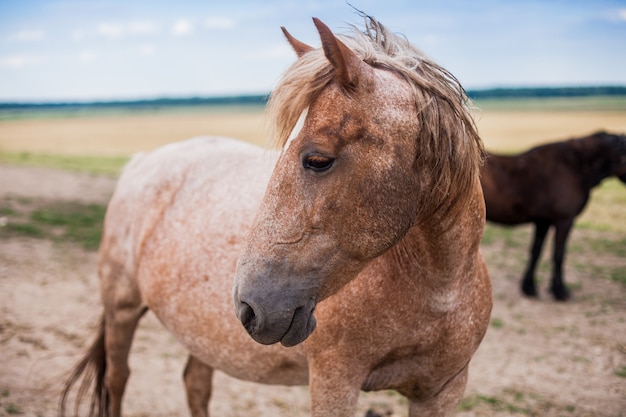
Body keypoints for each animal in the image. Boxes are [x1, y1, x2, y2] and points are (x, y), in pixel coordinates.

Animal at [59, 15, 488, 416]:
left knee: (195, 384)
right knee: (117, 379)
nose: (248, 306)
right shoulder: (334, 382)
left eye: (318, 160)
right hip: (121, 308)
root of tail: (141, 162)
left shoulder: (442, 391)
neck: (439, 290)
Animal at [478, 130, 624, 300]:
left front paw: (529, 287)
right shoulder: (564, 221)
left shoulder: (543, 221)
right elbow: (558, 255)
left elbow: (536, 251)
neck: (575, 166)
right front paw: (559, 291)